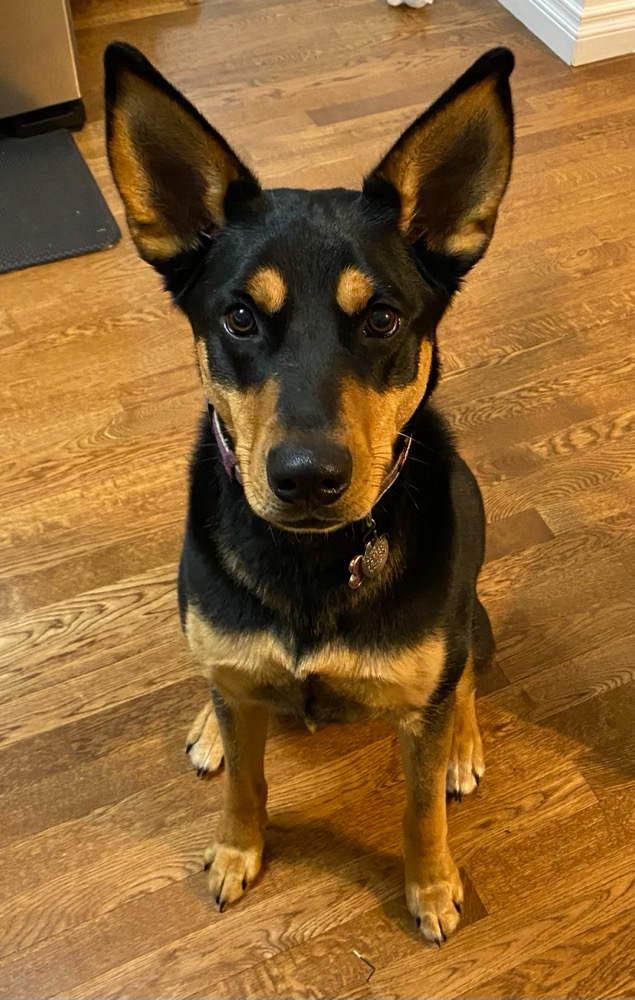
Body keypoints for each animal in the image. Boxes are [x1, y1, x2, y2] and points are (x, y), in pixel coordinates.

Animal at [104, 42, 513, 944]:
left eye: (383, 319)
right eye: (239, 318)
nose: (306, 478)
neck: (310, 558)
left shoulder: (422, 703)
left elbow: (420, 807)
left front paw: (431, 885)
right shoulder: (232, 667)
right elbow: (243, 782)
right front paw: (236, 848)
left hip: (472, 617)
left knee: (465, 673)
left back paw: (463, 743)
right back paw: (210, 725)